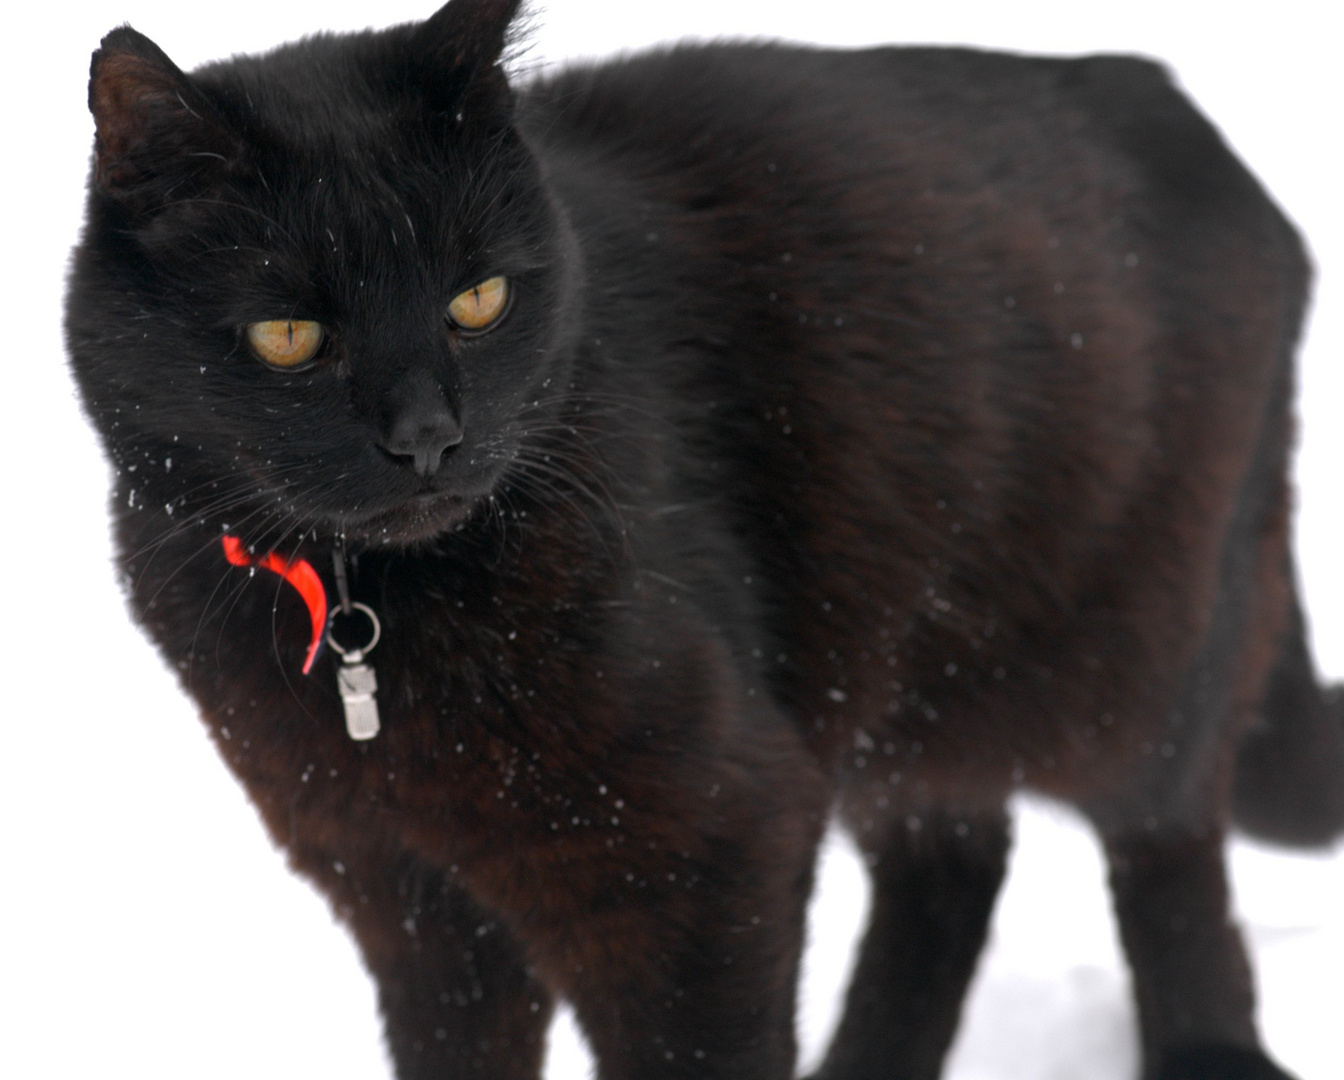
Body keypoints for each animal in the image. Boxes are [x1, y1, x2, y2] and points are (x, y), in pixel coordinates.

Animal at [68, 2, 1344, 1080]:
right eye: (288, 335)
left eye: (477, 301)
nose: (428, 436)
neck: (376, 622)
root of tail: (1168, 99)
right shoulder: (410, 899)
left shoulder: (712, 838)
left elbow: (697, 1042)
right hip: (882, 677)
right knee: (952, 862)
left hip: (1139, 649)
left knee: (1166, 847)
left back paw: (1209, 1055)